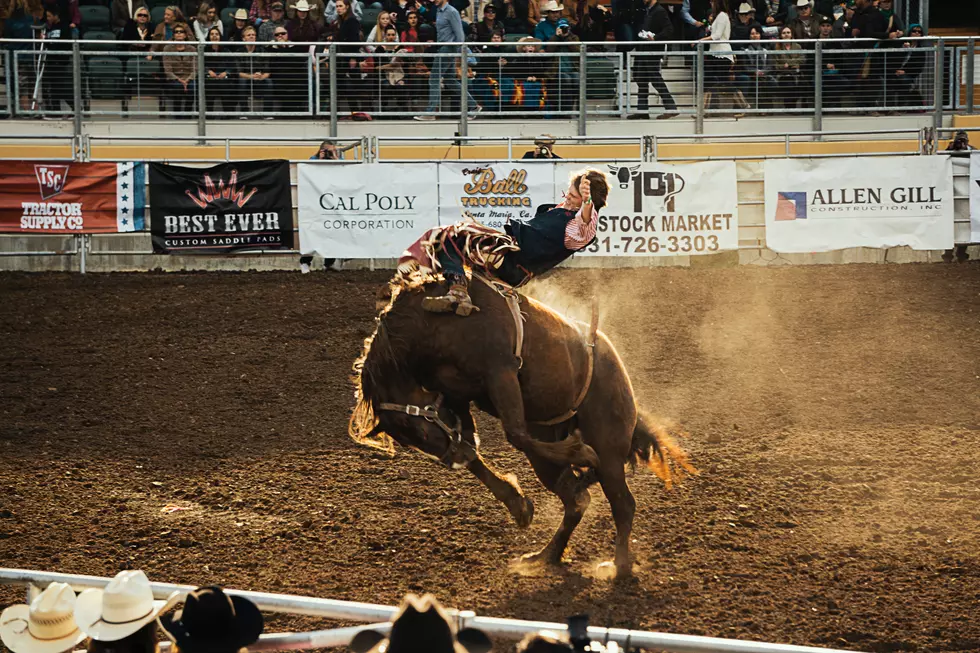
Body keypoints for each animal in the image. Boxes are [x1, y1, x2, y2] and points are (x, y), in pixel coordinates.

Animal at [348, 272, 692, 580]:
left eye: (417, 428)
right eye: (408, 439)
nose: (452, 461)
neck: (432, 326)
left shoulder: (501, 372)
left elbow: (513, 433)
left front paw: (579, 453)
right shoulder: (456, 395)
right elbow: (474, 446)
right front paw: (518, 505)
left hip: (609, 447)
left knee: (622, 505)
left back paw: (619, 566)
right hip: (547, 460)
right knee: (576, 501)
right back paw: (546, 555)